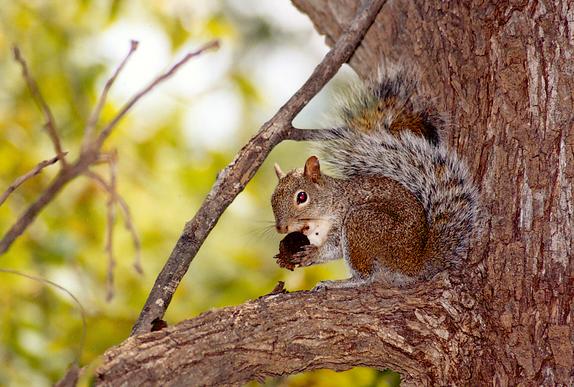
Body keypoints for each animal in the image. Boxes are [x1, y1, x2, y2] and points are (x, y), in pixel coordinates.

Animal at [272, 66, 480, 288]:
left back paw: (338, 283)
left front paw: (313, 254)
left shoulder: (342, 217)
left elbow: (334, 246)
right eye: (272, 199)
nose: (281, 228)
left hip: (362, 224)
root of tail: (413, 262)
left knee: (364, 277)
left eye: (302, 197)